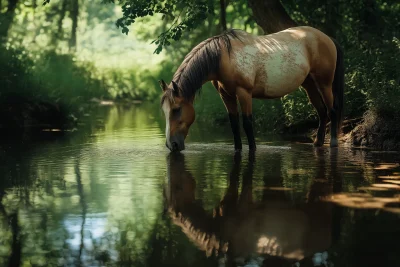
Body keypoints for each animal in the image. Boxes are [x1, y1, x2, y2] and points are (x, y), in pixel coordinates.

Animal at [159, 25, 344, 152]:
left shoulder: (244, 93)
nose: (171, 144)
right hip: (309, 84)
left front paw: (253, 149)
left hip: (324, 83)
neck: (224, 58)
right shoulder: (226, 96)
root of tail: (327, 38)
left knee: (332, 110)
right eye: (164, 111)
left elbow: (247, 123)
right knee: (322, 111)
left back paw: (333, 143)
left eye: (176, 109)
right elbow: (234, 124)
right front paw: (238, 149)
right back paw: (318, 142)